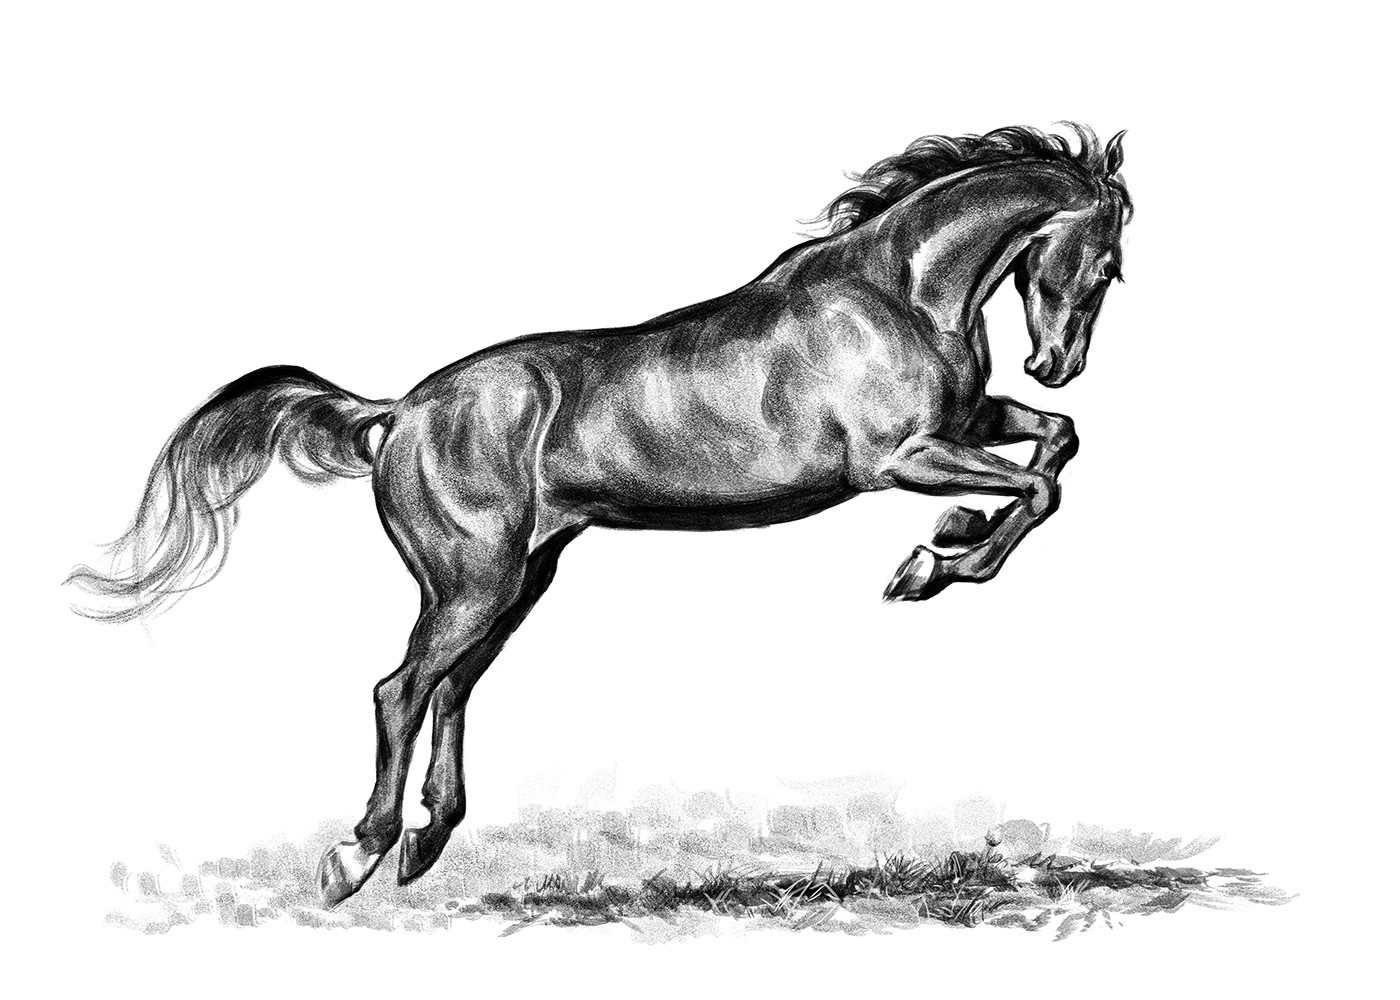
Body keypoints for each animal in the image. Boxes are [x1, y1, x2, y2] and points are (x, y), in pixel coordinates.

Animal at [68, 123, 1131, 907]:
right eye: (1109, 263)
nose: (1056, 362)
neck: (896, 292)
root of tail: (400, 411)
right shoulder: (897, 460)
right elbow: (1039, 487)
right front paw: (931, 562)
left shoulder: (965, 426)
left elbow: (1058, 447)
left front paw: (947, 543)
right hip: (472, 583)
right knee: (400, 690)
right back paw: (357, 856)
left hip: (515, 582)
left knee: (451, 689)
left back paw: (425, 843)